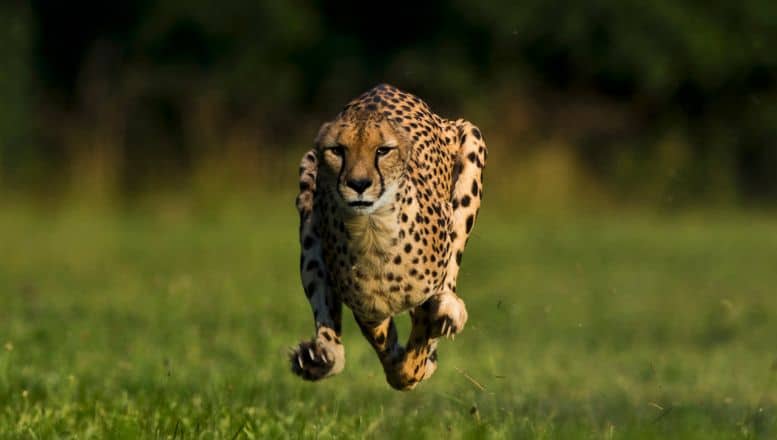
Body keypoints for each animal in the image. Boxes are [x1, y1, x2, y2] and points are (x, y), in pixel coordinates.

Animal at [292, 84, 484, 390]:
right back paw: (321, 356)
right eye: (337, 150)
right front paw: (408, 367)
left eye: (383, 151)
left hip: (469, 139)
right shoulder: (369, 311)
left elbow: (419, 341)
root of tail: (385, 87)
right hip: (308, 187)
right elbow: (389, 347)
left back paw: (448, 308)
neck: (373, 230)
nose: (358, 184)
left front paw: (419, 362)